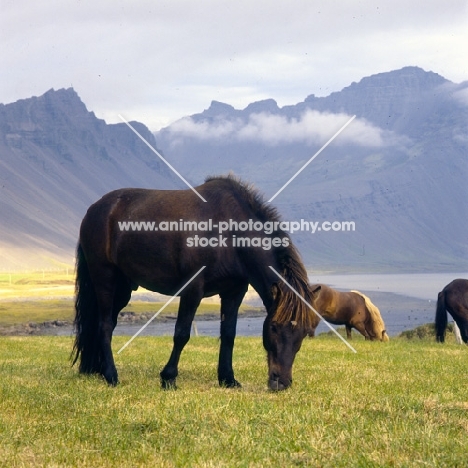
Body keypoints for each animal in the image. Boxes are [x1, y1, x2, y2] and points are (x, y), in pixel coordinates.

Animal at [72, 176, 322, 392]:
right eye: (274, 327)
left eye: (303, 332)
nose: (281, 382)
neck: (228, 232)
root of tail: (95, 209)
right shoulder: (192, 290)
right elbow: (182, 334)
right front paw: (168, 378)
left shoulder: (234, 292)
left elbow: (228, 334)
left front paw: (227, 378)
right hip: (105, 278)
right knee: (105, 325)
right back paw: (111, 376)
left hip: (123, 289)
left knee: (107, 324)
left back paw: (99, 369)